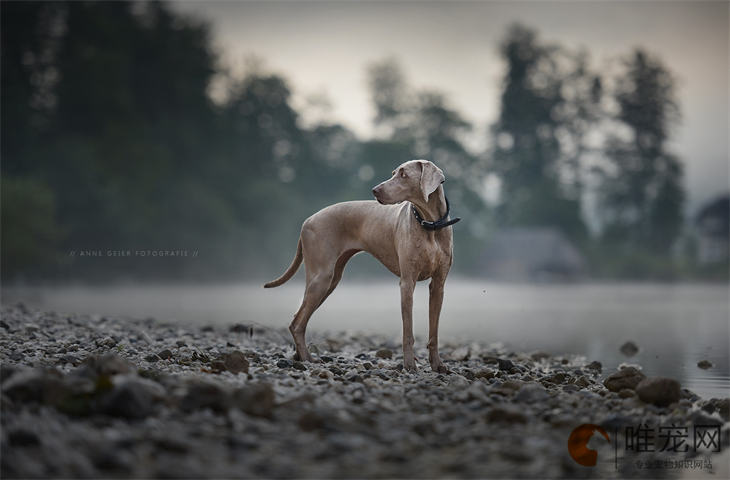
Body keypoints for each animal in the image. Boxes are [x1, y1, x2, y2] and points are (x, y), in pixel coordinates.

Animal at [262, 159, 458, 374]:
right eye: (394, 173)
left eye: (404, 175)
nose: (375, 190)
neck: (430, 223)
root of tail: (307, 221)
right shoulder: (407, 282)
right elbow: (408, 332)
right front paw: (409, 365)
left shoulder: (438, 285)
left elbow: (434, 332)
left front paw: (437, 365)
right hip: (321, 278)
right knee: (297, 324)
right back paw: (307, 359)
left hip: (330, 281)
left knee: (298, 319)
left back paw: (299, 356)